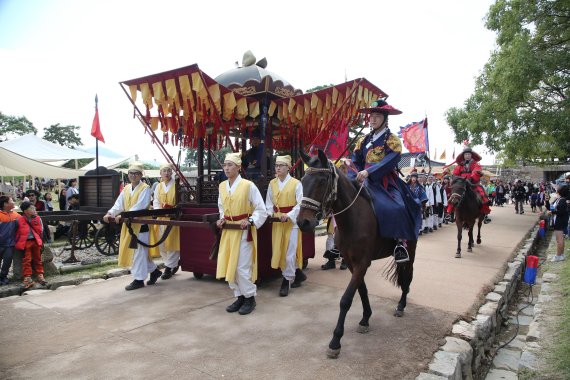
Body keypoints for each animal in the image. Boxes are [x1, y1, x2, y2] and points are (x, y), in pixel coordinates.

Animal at [296, 149, 414, 360]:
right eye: (302, 180)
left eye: (322, 181)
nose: (304, 222)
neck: (352, 218)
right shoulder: (352, 262)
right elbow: (361, 291)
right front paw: (365, 318)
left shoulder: (362, 262)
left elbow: (345, 300)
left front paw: (335, 341)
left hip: (413, 246)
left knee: (408, 276)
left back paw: (401, 305)